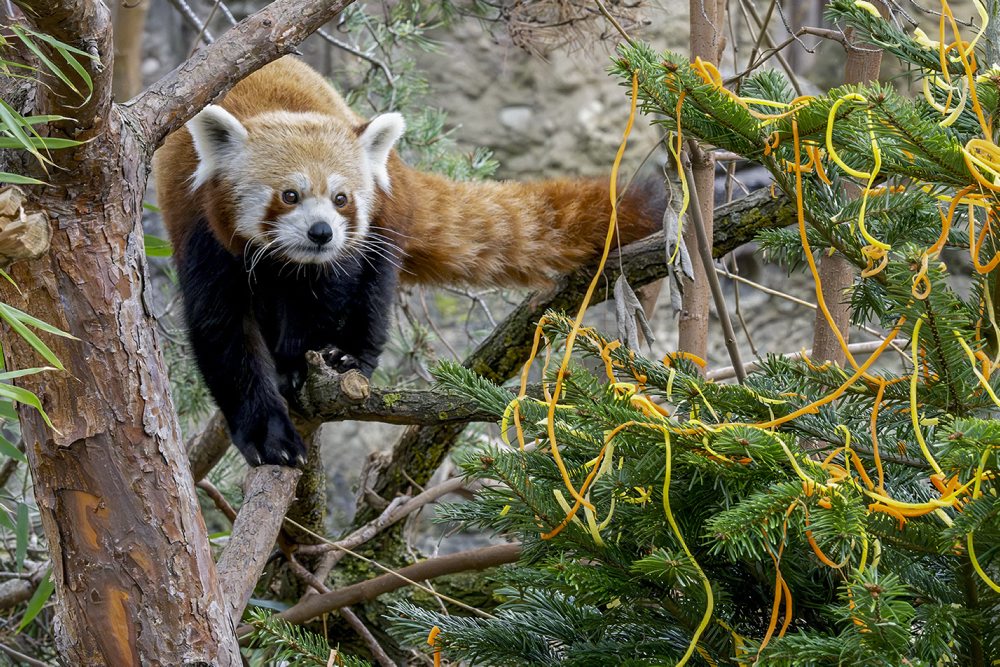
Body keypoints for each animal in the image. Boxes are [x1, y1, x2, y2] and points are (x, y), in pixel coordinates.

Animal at [154, 56, 664, 464]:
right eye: (289, 195)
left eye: (341, 199)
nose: (321, 233)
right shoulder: (203, 235)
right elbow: (224, 333)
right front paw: (268, 433)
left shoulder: (341, 256)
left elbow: (327, 296)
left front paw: (304, 360)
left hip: (387, 220)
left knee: (373, 295)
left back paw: (349, 356)